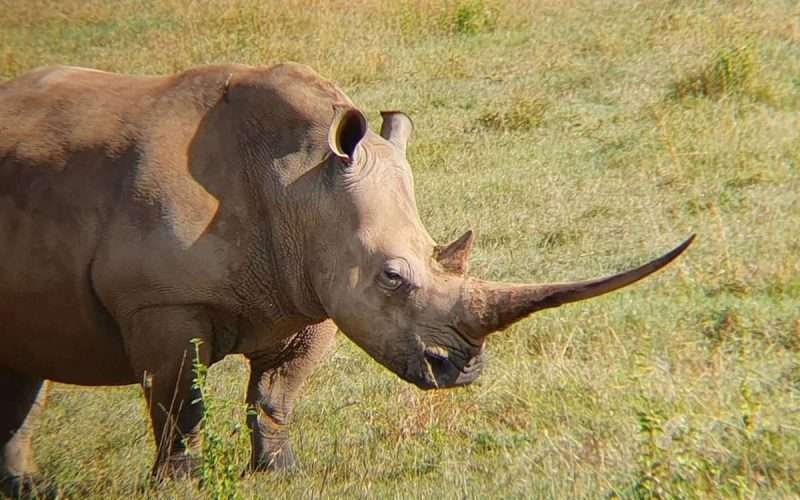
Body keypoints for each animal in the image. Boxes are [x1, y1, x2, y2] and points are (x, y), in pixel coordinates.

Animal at [0, 62, 693, 494]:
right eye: (392, 277)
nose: (462, 371)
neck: (297, 183)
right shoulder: (162, 303)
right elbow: (179, 404)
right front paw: (179, 486)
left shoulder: (310, 294)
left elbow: (275, 395)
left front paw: (280, 475)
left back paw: (26, 488)